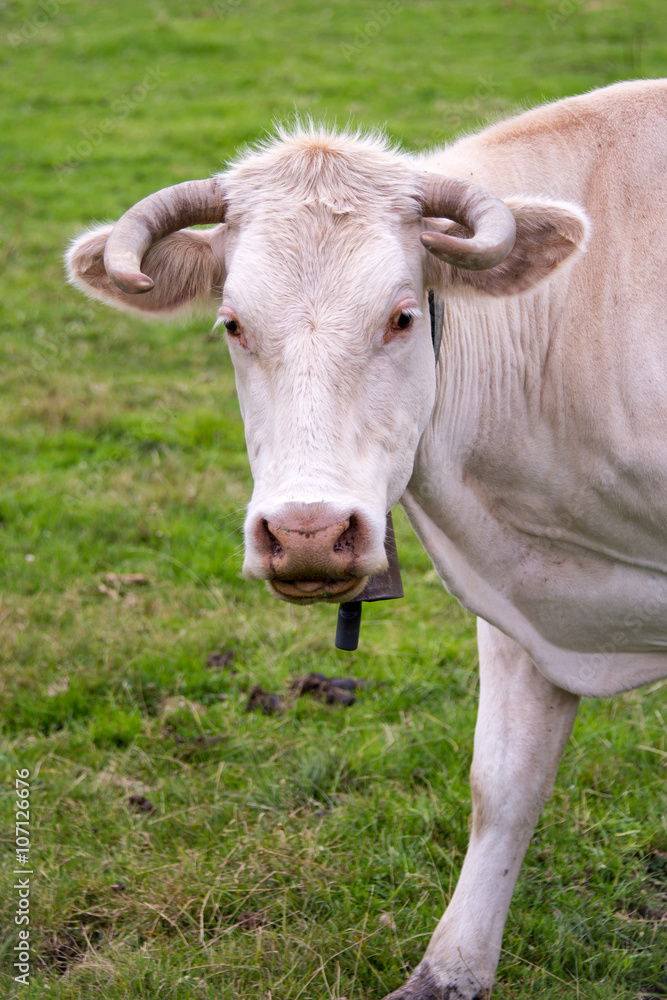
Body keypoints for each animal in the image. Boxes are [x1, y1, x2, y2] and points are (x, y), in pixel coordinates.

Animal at [66, 80, 667, 1000]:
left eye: (401, 316)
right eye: (232, 324)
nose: (308, 533)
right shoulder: (516, 602)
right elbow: (503, 782)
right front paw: (448, 969)